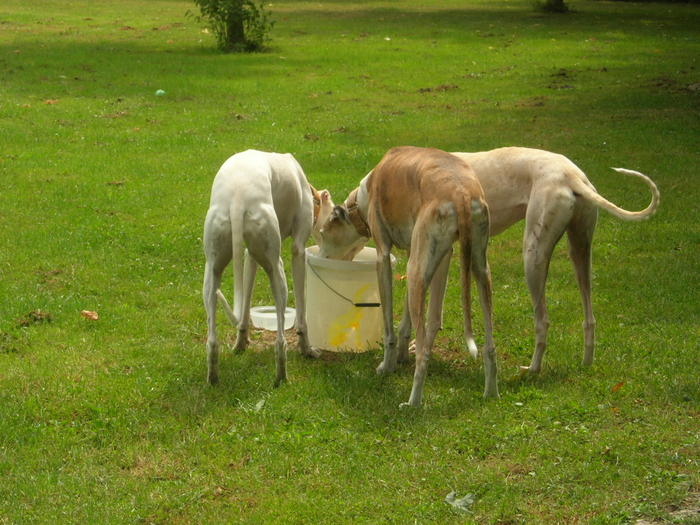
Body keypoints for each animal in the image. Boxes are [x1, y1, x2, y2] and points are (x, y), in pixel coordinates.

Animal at [202, 149, 334, 386]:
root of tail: (237, 198)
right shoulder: (298, 251)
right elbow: (302, 314)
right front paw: (307, 349)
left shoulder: (249, 257)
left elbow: (246, 305)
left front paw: (241, 343)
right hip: (276, 269)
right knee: (280, 339)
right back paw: (281, 376)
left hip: (212, 268)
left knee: (212, 339)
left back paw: (213, 376)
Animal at [318, 145, 498, 408]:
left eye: (322, 233)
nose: (319, 257)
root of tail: (461, 193)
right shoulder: (430, 255)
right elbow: (407, 321)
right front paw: (400, 357)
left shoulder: (383, 256)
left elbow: (389, 327)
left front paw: (386, 365)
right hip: (473, 267)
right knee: (475, 338)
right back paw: (491, 391)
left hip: (417, 270)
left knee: (424, 350)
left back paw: (413, 402)